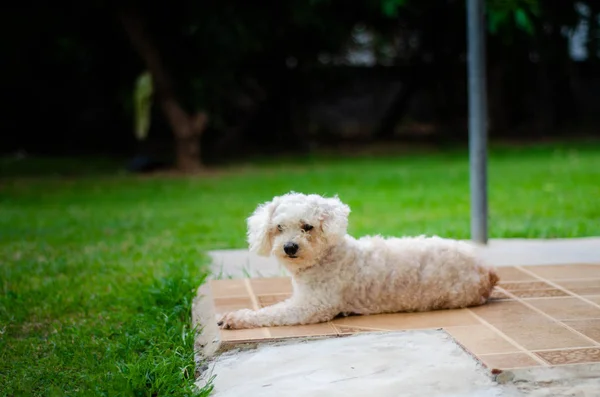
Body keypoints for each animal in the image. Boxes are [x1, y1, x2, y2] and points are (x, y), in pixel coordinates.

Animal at [216, 192, 496, 328]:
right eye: (278, 228)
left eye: (307, 227)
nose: (289, 247)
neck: (327, 257)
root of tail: (487, 270)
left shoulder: (313, 306)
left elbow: (271, 313)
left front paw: (235, 318)